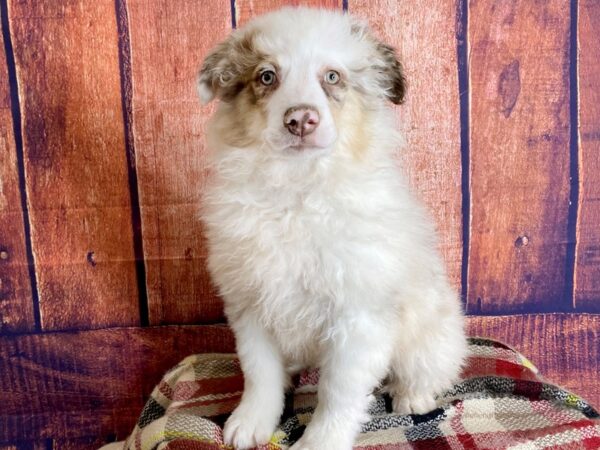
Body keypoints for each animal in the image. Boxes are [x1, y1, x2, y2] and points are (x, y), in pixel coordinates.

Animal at [198, 7, 468, 450]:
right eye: (266, 76)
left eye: (332, 76)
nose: (300, 120)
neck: (297, 191)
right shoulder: (250, 304)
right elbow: (260, 374)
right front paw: (251, 422)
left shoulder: (359, 316)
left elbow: (337, 391)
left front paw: (320, 440)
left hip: (432, 331)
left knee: (430, 367)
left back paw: (412, 395)